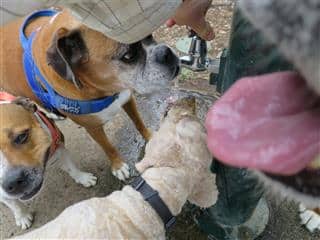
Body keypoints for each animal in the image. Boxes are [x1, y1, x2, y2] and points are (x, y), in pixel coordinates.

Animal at [0, 8, 180, 182]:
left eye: (149, 35)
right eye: (128, 56)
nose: (166, 53)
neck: (103, 89)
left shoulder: (127, 98)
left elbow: (138, 122)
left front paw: (150, 137)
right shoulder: (93, 127)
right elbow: (108, 146)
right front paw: (118, 165)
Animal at [0, 93, 97, 230]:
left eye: (21, 136)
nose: (12, 182)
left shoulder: (59, 147)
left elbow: (71, 167)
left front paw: (82, 177)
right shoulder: (2, 194)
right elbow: (14, 205)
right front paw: (22, 216)